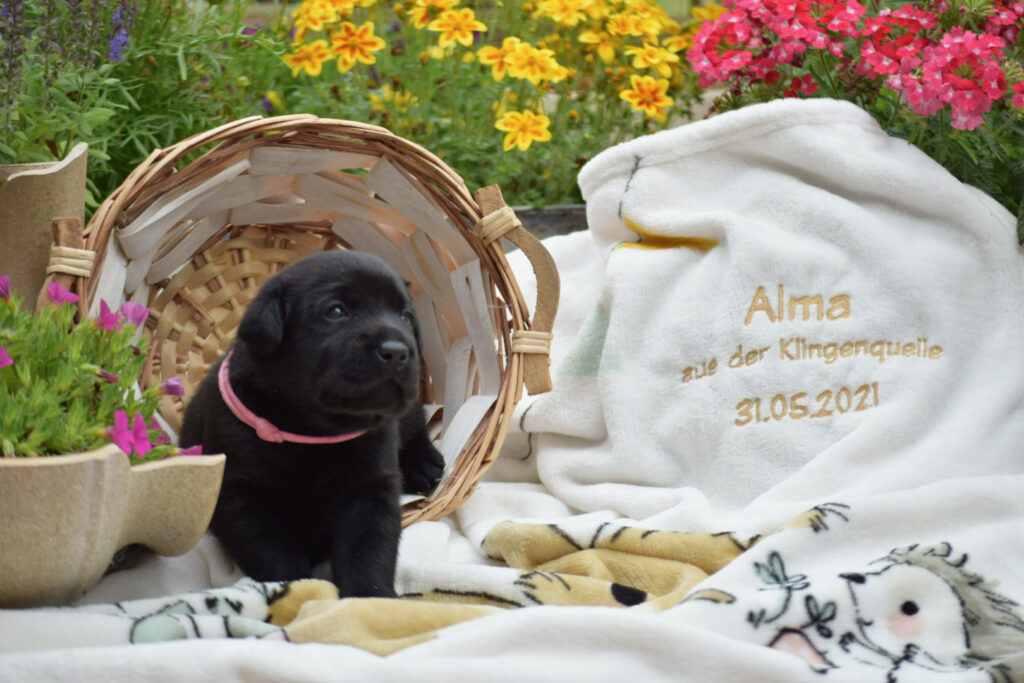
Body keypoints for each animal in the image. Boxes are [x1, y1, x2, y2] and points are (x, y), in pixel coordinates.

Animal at [179, 250, 445, 597]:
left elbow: (369, 550)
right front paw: (301, 591)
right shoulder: (240, 495)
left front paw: (368, 597)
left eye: (405, 316)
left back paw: (424, 462)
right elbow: (274, 552)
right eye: (336, 311)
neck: (313, 431)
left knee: (417, 422)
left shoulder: (371, 488)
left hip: (407, 412)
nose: (398, 351)